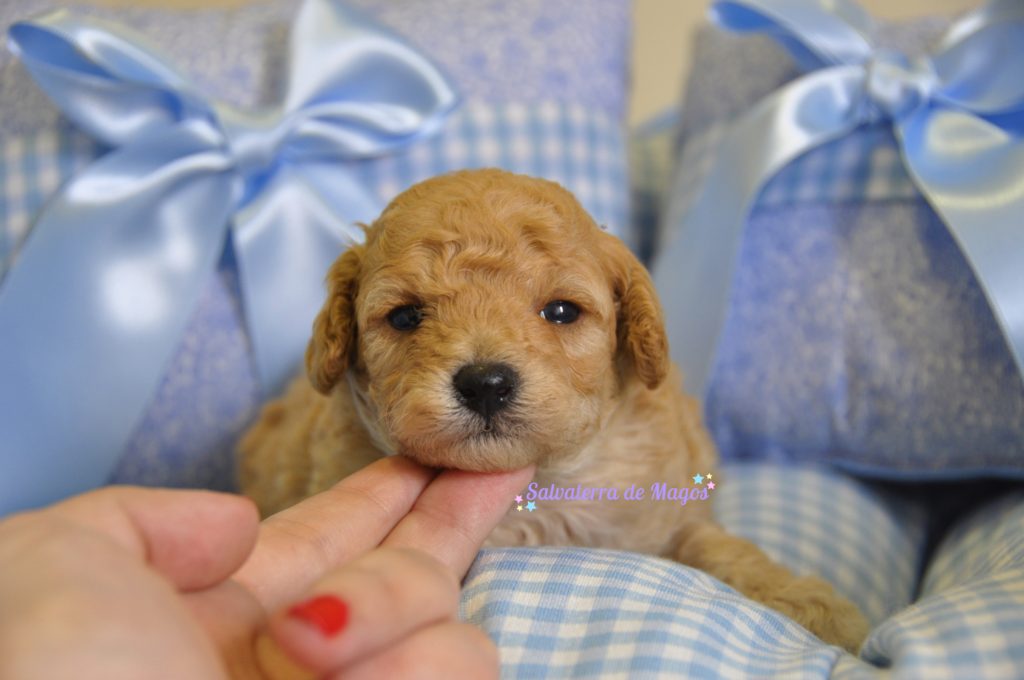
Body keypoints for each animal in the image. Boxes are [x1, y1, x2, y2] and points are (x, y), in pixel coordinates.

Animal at [237, 166, 864, 651]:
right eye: (406, 316)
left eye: (561, 311)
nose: (485, 383)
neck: (537, 491)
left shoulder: (665, 513)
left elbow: (717, 545)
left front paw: (810, 605)